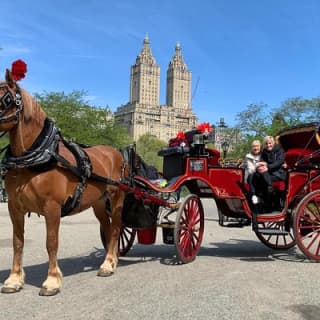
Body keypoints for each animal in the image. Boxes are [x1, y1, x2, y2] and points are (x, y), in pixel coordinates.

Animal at [0, 69, 127, 296]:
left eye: (5, 99)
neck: (35, 157)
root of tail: (115, 152)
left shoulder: (52, 207)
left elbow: (51, 242)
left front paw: (52, 280)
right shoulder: (14, 207)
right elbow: (17, 242)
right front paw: (14, 280)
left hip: (117, 197)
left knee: (115, 229)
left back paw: (108, 264)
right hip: (98, 203)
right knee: (108, 226)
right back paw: (111, 261)